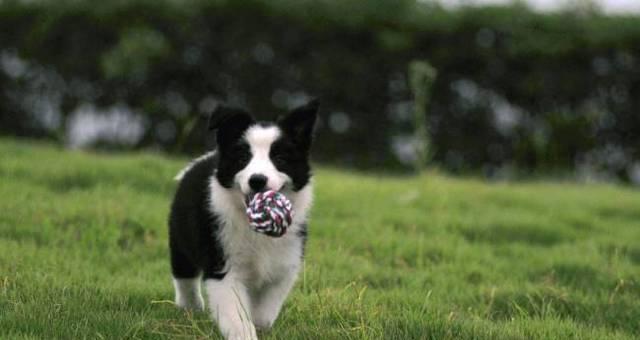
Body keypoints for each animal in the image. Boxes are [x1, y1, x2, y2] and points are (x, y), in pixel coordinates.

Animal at [169, 99, 318, 338]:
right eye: (242, 159)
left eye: (280, 159)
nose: (257, 180)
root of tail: (203, 160)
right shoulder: (223, 265)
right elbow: (236, 315)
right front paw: (245, 332)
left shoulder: (285, 264)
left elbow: (264, 313)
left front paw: (258, 323)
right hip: (180, 235)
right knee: (184, 274)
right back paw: (190, 307)